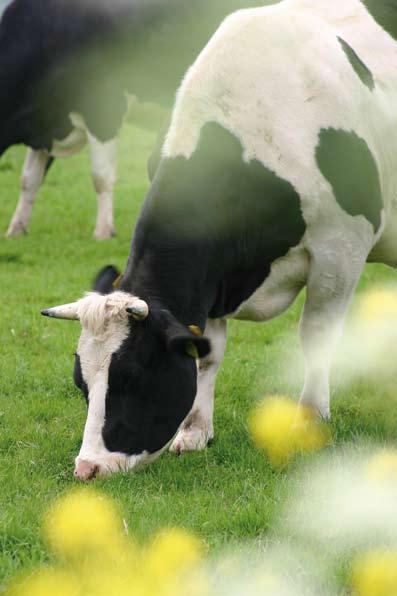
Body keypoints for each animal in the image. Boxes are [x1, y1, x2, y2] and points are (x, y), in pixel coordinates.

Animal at [42, 0, 396, 478]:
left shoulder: (340, 249)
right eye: (82, 382)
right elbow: (208, 352)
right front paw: (195, 432)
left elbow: (316, 336)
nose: (87, 468)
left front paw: (309, 420)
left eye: (133, 377)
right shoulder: (211, 281)